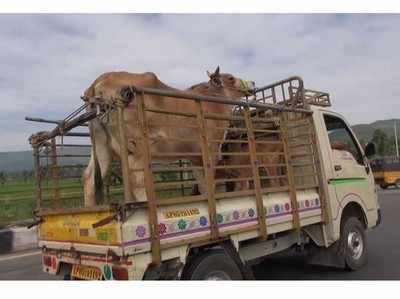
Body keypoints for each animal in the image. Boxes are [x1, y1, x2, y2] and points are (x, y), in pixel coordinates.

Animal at [83, 68, 255, 207]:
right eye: (230, 78)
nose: (252, 82)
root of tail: (97, 83)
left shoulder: (195, 157)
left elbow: (202, 184)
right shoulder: (211, 151)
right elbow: (209, 183)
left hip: (102, 147)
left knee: (89, 178)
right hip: (137, 148)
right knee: (135, 180)